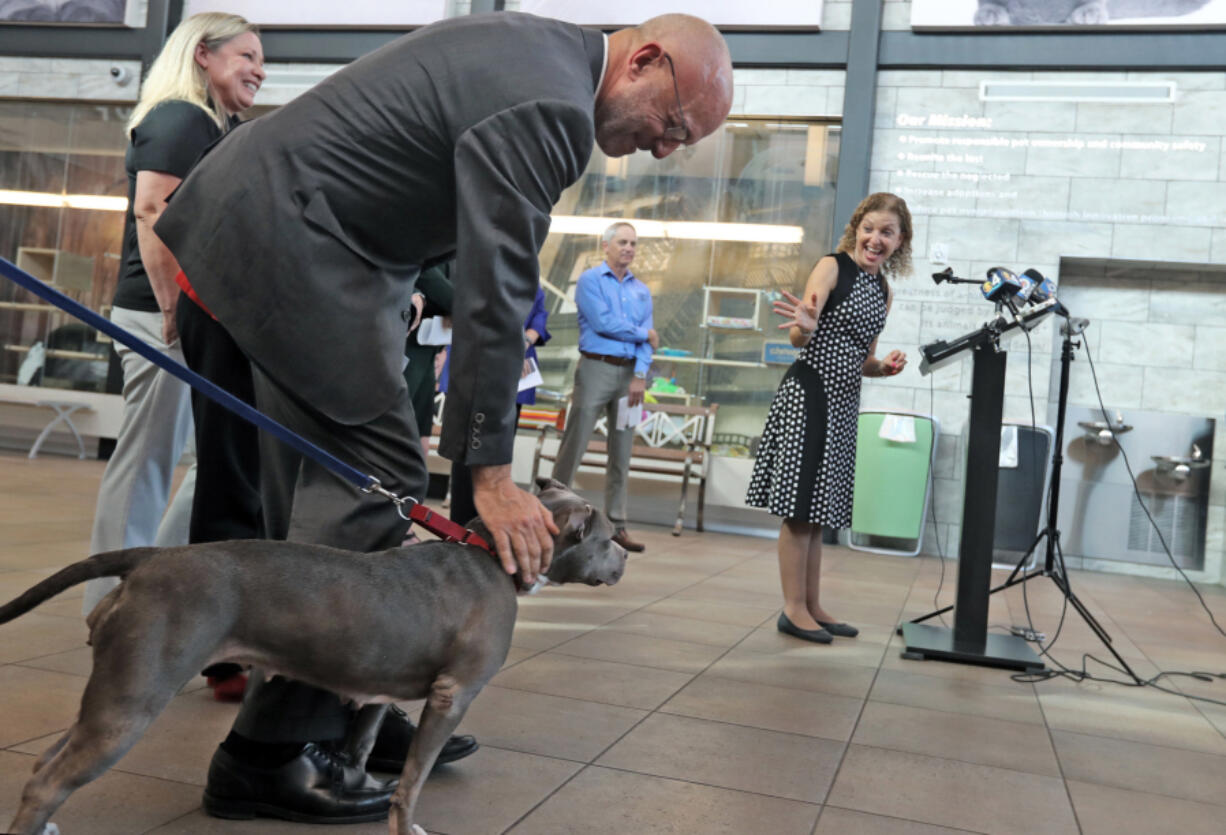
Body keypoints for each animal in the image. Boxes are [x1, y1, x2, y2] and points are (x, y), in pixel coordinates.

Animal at [0, 475, 627, 833]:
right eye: (605, 538)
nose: (626, 557)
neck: (488, 553)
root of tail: (151, 557)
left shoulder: (378, 693)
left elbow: (362, 748)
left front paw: (354, 789)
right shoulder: (454, 697)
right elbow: (413, 782)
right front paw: (403, 822)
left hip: (113, 694)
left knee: (45, 761)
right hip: (133, 700)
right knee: (46, 783)